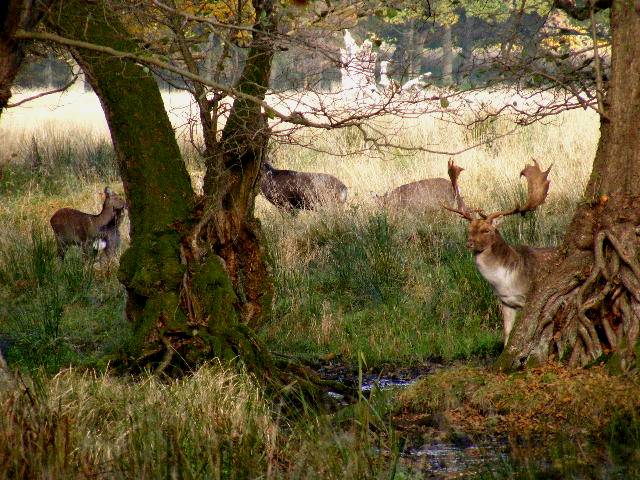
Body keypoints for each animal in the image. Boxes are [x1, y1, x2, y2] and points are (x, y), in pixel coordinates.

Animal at [444, 160, 556, 344]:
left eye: (487, 230)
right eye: (469, 229)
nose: (469, 243)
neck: (506, 282)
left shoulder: (530, 296)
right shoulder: (506, 301)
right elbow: (507, 332)